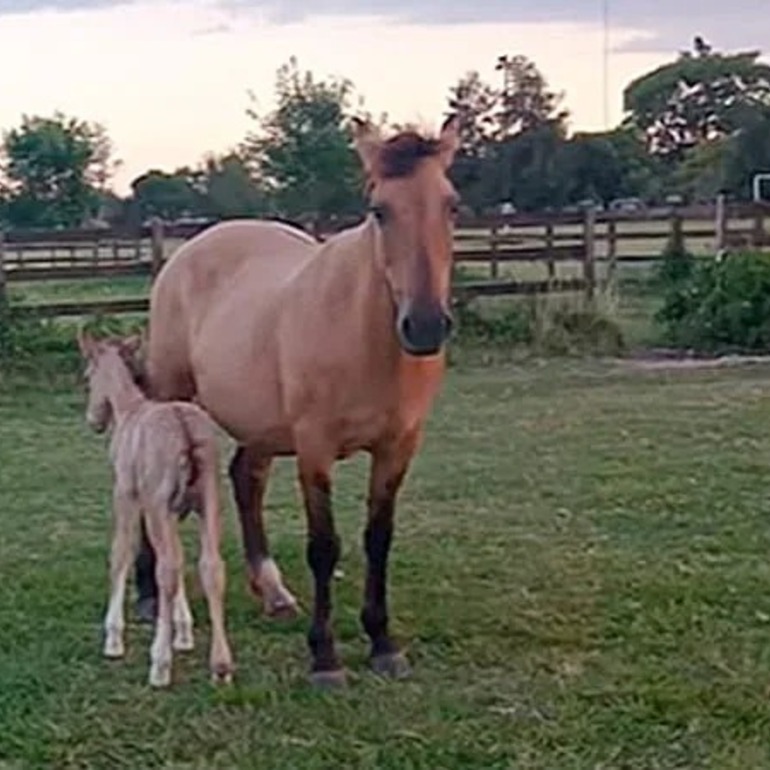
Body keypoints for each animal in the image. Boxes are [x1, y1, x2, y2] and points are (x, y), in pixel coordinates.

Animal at [78, 331, 234, 688]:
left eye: (88, 377)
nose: (94, 420)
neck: (129, 409)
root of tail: (186, 431)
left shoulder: (127, 496)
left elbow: (121, 553)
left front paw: (113, 639)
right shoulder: (173, 511)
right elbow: (179, 556)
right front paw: (184, 633)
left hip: (155, 505)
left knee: (168, 570)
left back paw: (160, 666)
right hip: (209, 501)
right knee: (210, 566)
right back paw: (221, 665)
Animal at [139, 114, 460, 687]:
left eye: (452, 205)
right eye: (380, 210)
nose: (424, 326)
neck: (362, 331)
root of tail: (189, 252)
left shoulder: (398, 446)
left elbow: (379, 538)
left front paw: (383, 643)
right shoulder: (315, 446)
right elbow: (324, 546)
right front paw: (325, 657)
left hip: (262, 425)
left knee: (246, 480)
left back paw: (273, 591)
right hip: (173, 395)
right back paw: (151, 597)